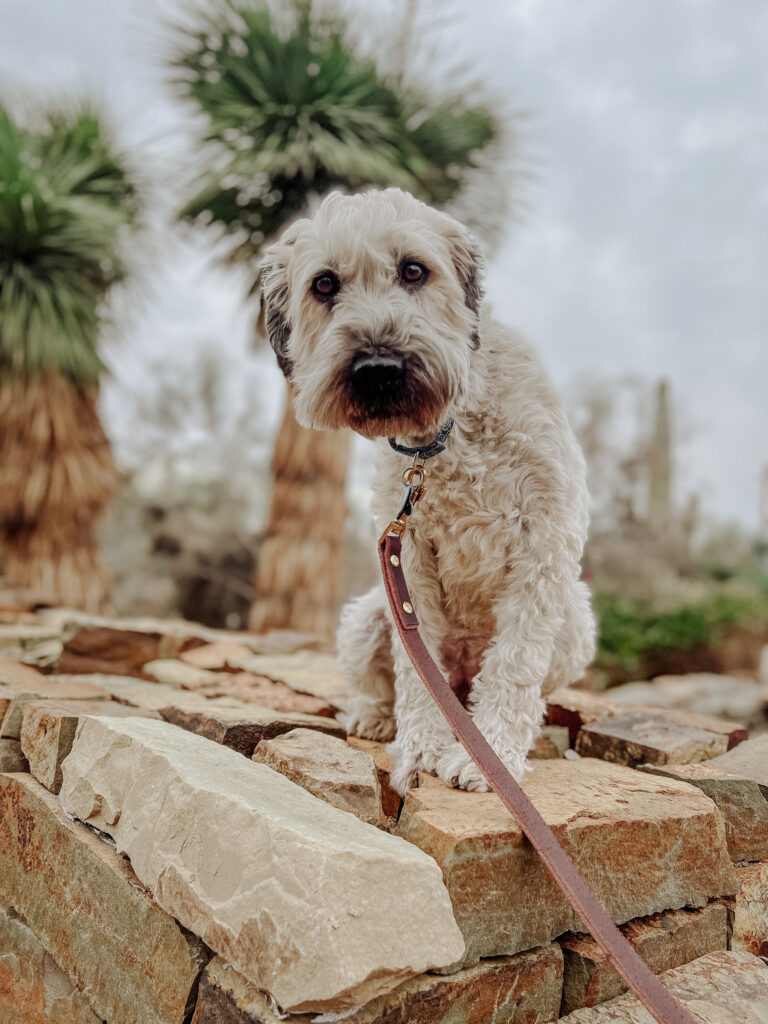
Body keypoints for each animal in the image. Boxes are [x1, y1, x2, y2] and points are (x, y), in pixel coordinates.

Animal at [262, 193, 598, 798]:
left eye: (414, 270)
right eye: (323, 284)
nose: (377, 369)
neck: (446, 433)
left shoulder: (544, 544)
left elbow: (516, 663)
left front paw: (491, 758)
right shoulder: (408, 558)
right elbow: (416, 676)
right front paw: (421, 748)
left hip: (575, 624)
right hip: (366, 619)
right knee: (394, 684)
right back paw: (375, 718)